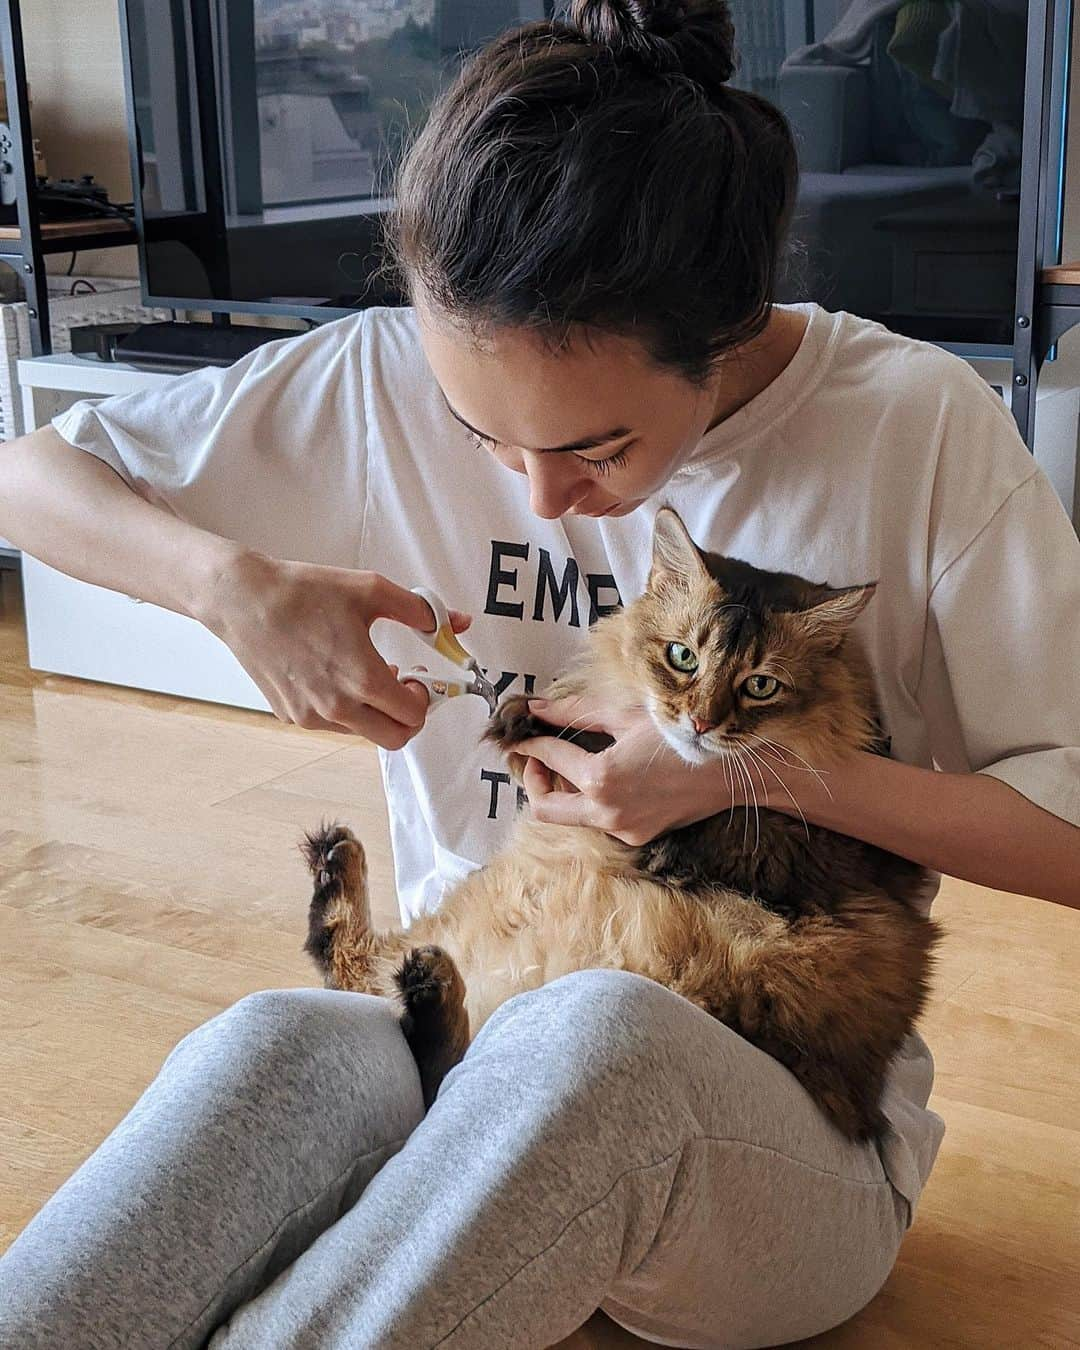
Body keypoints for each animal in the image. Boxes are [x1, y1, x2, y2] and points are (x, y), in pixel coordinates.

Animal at [301, 507, 934, 1139]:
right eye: (683, 657)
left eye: (760, 685)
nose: (701, 723)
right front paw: (518, 715)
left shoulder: (774, 843)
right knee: (358, 977)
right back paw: (343, 875)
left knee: (431, 1059)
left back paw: (426, 987)